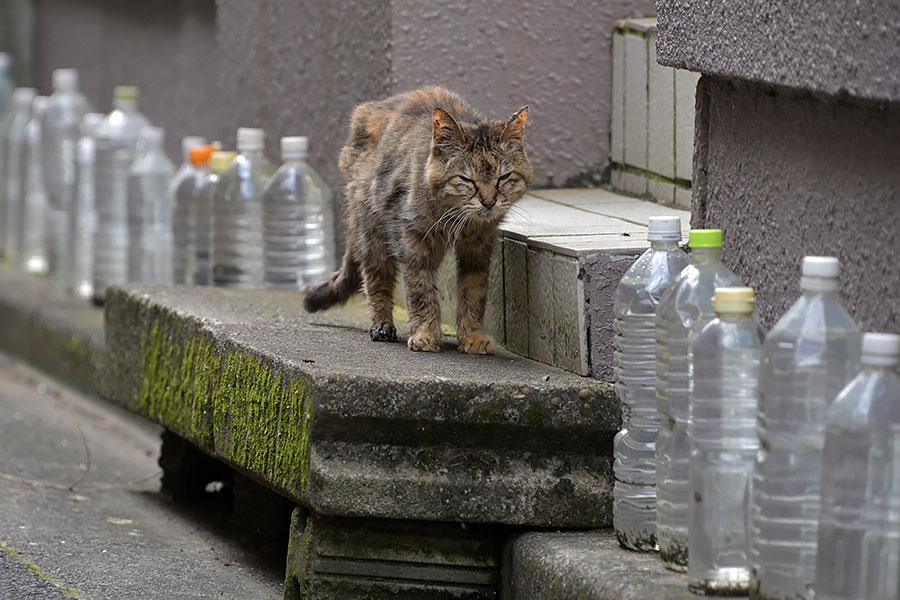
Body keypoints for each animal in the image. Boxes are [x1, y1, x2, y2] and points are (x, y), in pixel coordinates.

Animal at [302, 86, 532, 354]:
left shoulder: (479, 247)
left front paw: (472, 336)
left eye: (503, 177)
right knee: (376, 279)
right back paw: (382, 327)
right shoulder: (411, 238)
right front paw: (425, 334)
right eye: (466, 179)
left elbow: (474, 292)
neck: (456, 219)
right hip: (372, 232)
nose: (488, 201)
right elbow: (420, 291)